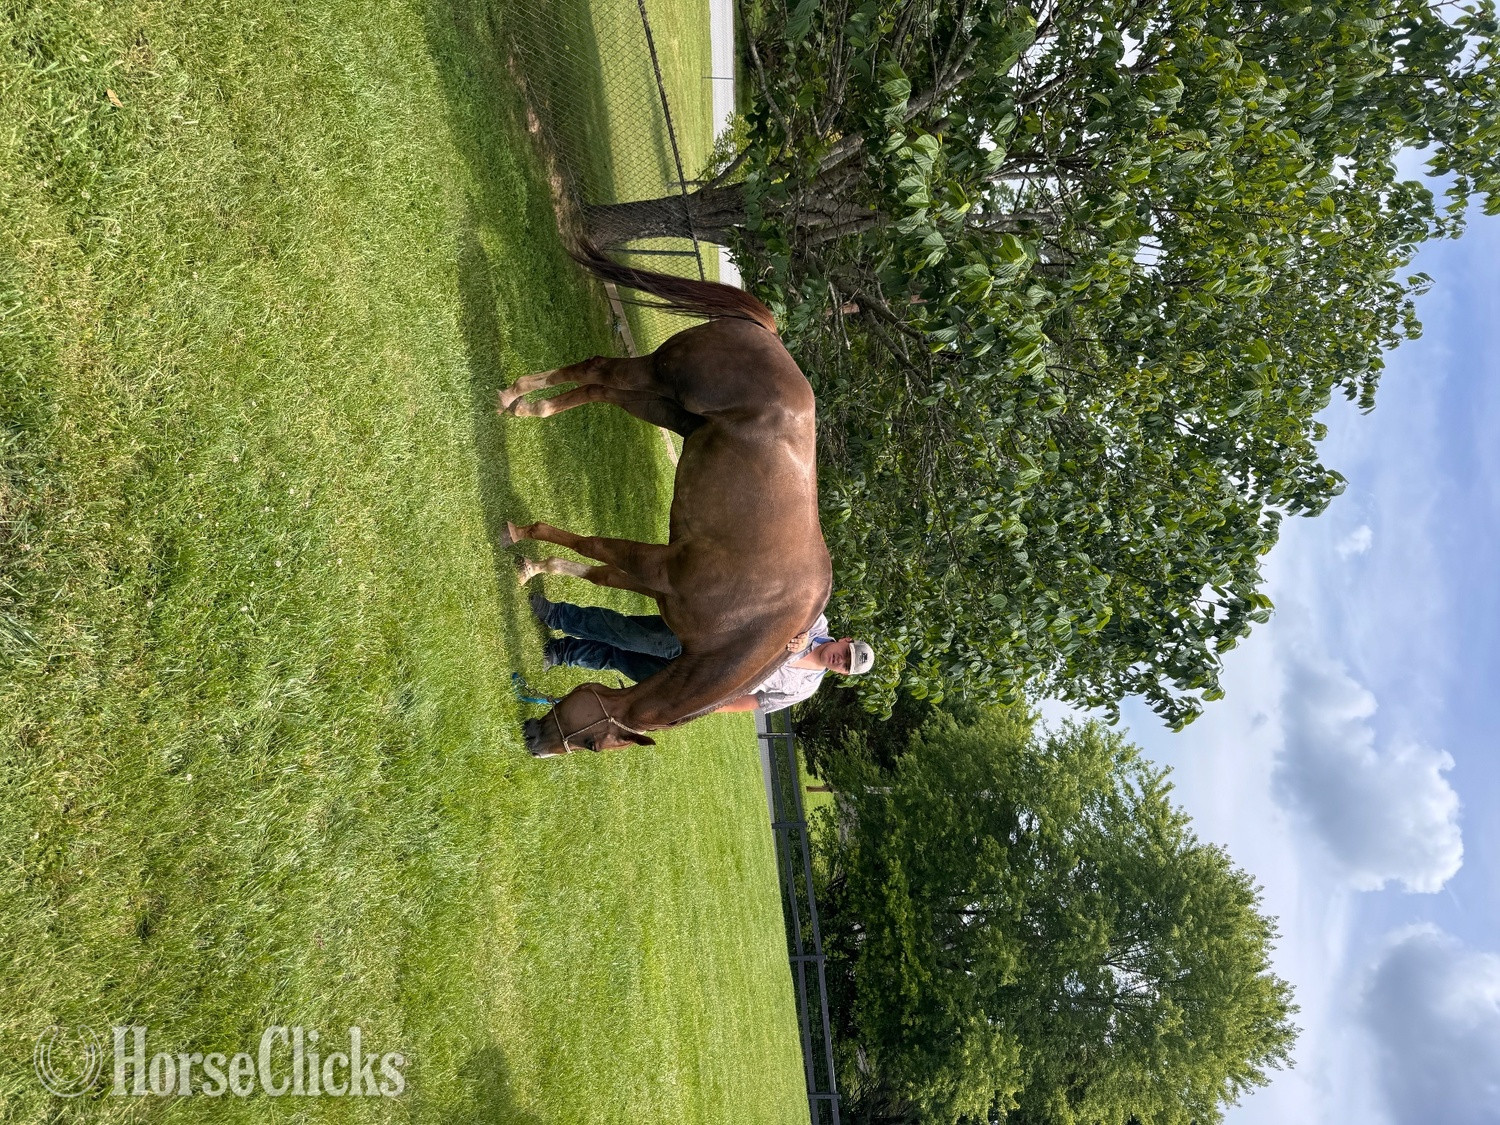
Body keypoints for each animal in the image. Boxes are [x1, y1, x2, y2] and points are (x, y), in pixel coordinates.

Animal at [497, 244, 831, 757]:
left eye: (591, 745)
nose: (535, 741)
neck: (748, 629)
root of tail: (769, 335)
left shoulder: (654, 581)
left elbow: (596, 572)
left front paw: (535, 568)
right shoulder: (657, 566)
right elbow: (591, 546)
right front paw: (520, 537)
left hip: (663, 405)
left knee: (600, 388)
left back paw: (527, 404)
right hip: (660, 377)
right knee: (596, 370)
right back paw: (518, 398)